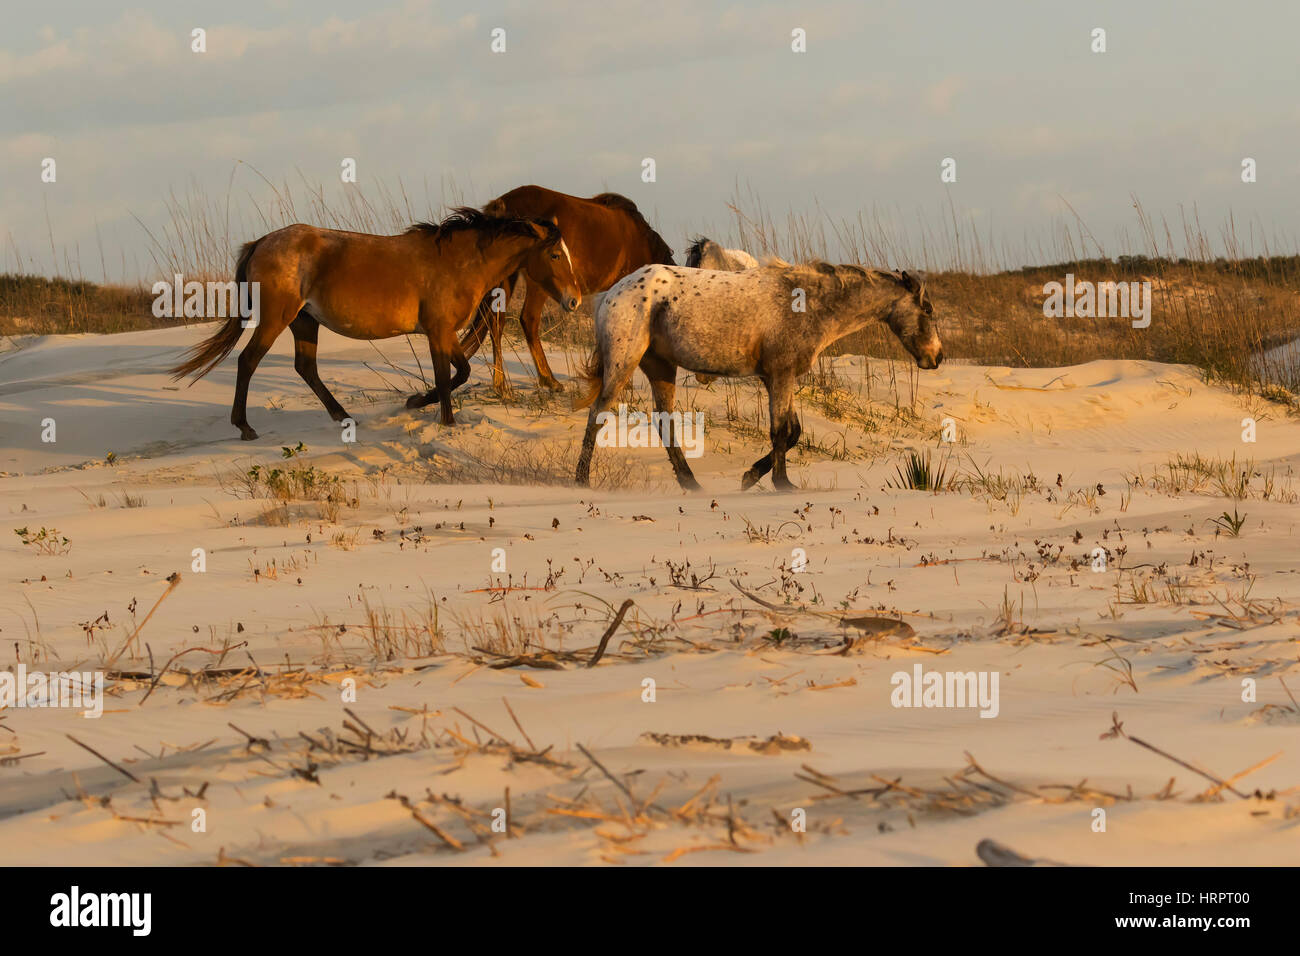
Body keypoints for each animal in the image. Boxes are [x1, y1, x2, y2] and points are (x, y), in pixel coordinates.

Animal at [171, 209, 579, 442]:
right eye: (555, 255)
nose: (574, 300)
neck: (459, 261)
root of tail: (261, 242)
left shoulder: (445, 333)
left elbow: (459, 373)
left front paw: (416, 402)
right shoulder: (438, 331)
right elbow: (448, 376)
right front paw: (444, 422)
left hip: (304, 322)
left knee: (305, 367)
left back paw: (343, 417)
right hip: (276, 317)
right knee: (249, 362)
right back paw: (245, 427)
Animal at [460, 184, 681, 395]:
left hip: (506, 277)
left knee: (496, 321)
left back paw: (501, 385)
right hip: (538, 283)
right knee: (528, 320)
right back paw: (549, 380)